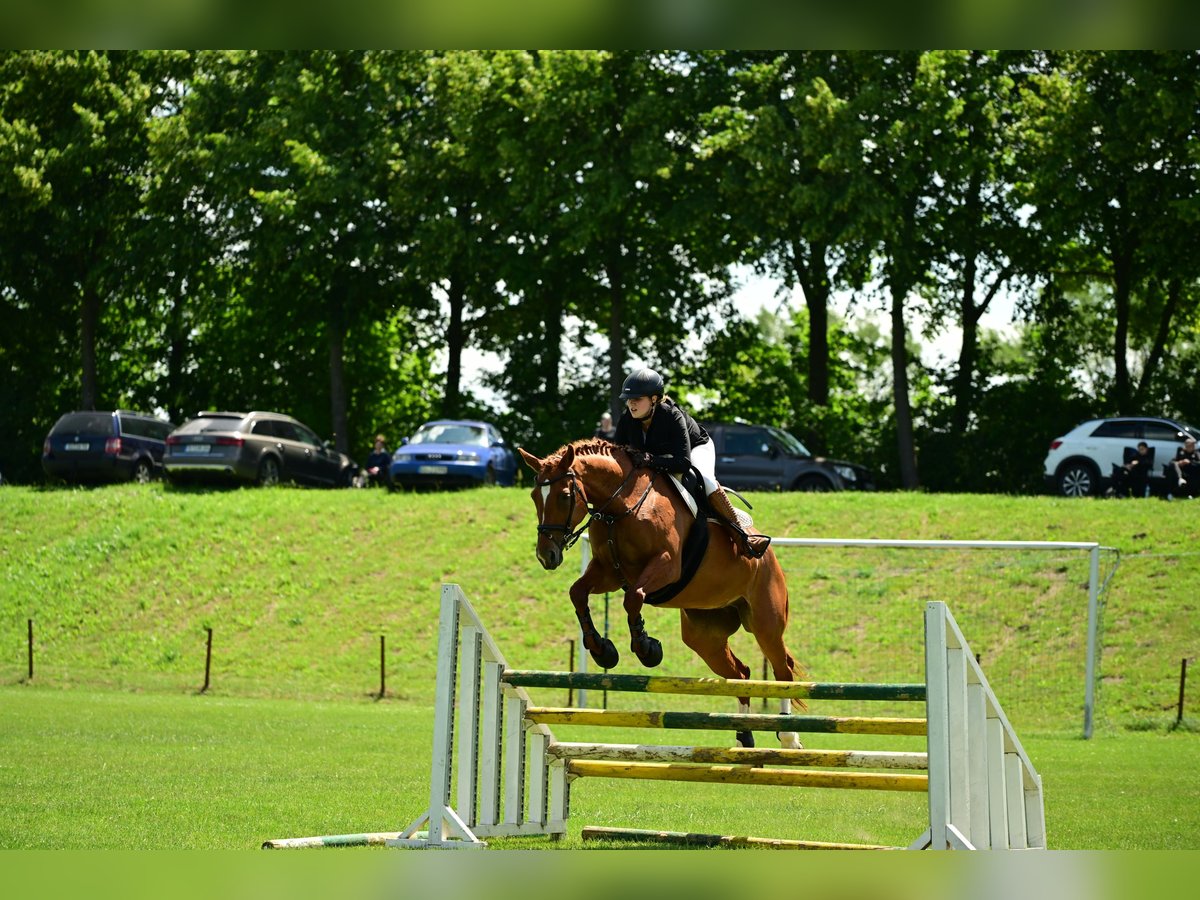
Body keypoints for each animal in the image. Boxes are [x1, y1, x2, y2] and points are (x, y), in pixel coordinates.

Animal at [518, 438, 806, 748]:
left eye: (563, 496)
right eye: (534, 496)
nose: (546, 555)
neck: (621, 505)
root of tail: (769, 557)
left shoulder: (666, 566)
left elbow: (633, 598)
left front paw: (646, 648)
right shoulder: (608, 572)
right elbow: (578, 593)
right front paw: (602, 650)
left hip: (765, 622)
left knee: (782, 670)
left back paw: (788, 737)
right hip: (704, 636)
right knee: (741, 674)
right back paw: (743, 738)